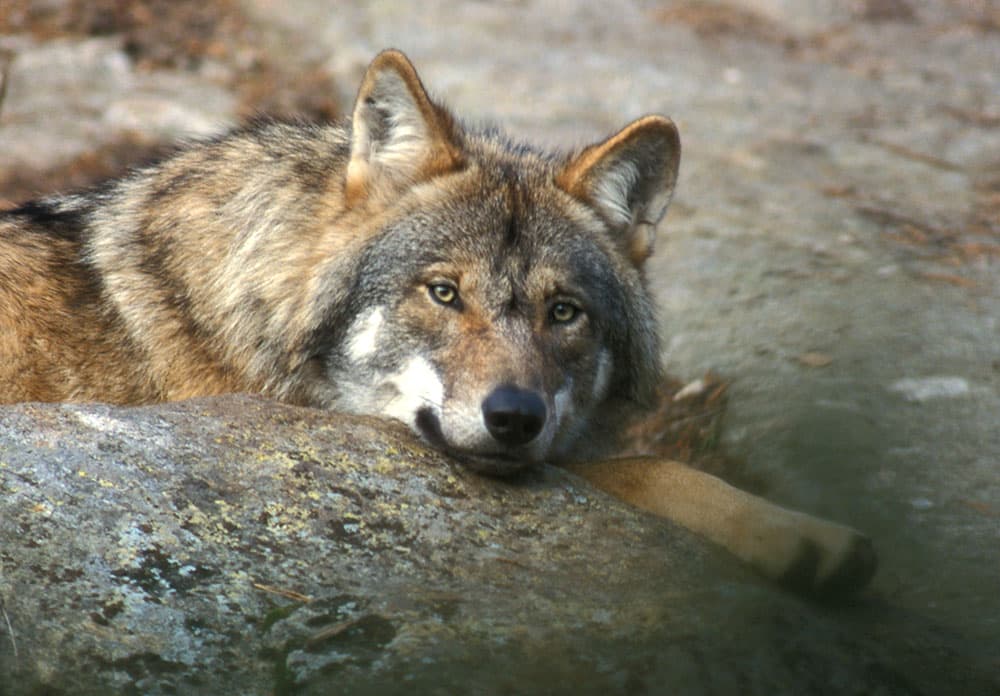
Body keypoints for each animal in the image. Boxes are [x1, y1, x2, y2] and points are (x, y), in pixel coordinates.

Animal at [0, 50, 876, 600]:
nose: (515, 417)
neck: (235, 310)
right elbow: (647, 469)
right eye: (444, 293)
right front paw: (804, 538)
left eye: (565, 313)